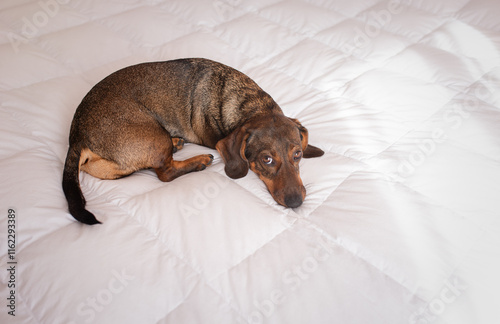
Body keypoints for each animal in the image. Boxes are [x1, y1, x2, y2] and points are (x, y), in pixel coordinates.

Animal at [61, 58, 324, 224]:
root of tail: (77, 134)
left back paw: (177, 144)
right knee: (165, 172)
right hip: (154, 135)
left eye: (298, 155)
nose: (296, 203)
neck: (249, 102)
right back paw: (197, 161)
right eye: (266, 159)